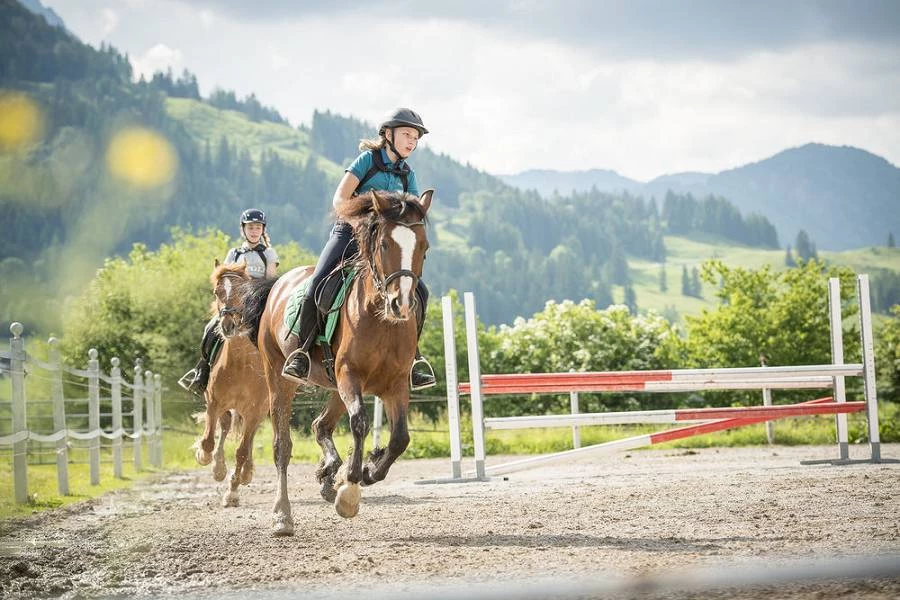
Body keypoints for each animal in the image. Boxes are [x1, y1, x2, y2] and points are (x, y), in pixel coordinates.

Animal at [192, 262, 268, 506]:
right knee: (225, 427)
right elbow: (208, 440)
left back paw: (246, 473)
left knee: (248, 438)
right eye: (217, 292)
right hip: (227, 407)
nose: (228, 325)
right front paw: (206, 459)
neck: (240, 363)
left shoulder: (254, 410)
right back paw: (218, 466)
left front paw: (233, 491)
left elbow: (242, 451)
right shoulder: (213, 402)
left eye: (243, 293)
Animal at [229, 189, 432, 536]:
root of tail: (278, 284)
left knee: (320, 425)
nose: (401, 305)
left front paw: (368, 469)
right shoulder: (349, 374)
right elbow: (361, 423)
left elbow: (400, 438)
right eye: (384, 245)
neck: (380, 318)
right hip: (281, 378)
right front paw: (349, 489)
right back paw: (283, 516)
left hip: (334, 386)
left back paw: (328, 473)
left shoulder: (395, 383)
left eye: (424, 247)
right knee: (282, 446)